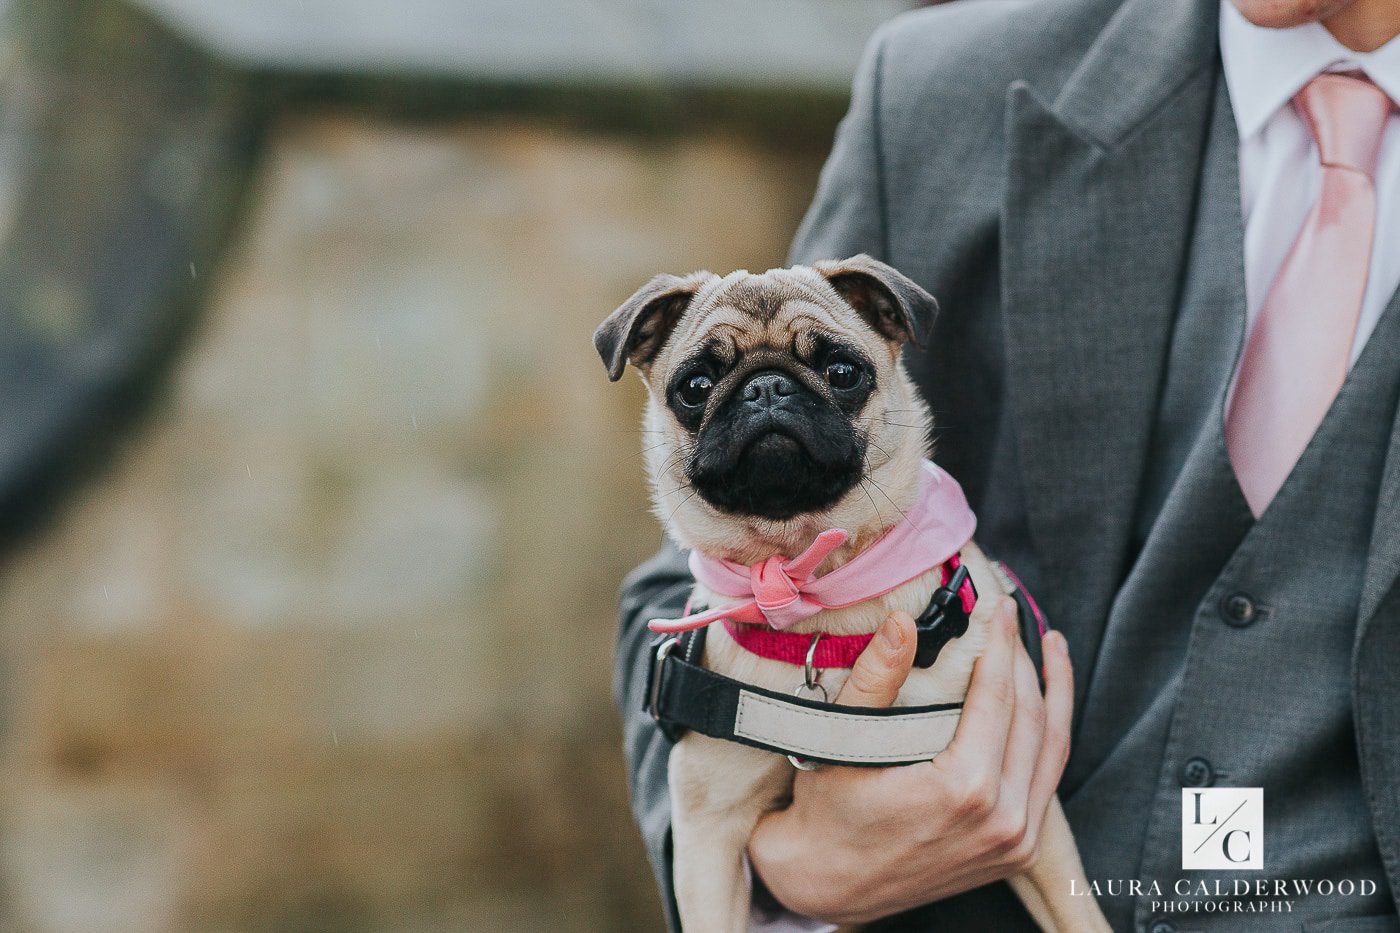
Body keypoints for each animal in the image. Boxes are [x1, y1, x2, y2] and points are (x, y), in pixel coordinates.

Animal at [596, 254, 1108, 930]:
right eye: (696, 386)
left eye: (842, 373)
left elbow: (1079, 916)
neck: (810, 586)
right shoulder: (710, 835)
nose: (766, 387)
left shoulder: (1035, 819)